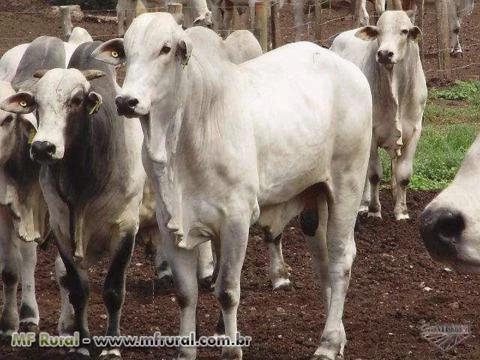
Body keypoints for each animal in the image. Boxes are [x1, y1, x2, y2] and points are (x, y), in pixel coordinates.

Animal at [93, 11, 372, 360]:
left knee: (340, 260)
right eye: (126, 52)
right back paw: (339, 336)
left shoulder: (236, 220)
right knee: (322, 261)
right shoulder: (170, 223)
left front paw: (231, 348)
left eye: (165, 48)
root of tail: (345, 67)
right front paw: (186, 351)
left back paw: (328, 342)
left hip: (347, 183)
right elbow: (186, 293)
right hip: (314, 193)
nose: (126, 101)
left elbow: (226, 291)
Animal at [330, 10, 428, 219]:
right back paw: (364, 204)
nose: (384, 54)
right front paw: (375, 211)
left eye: (404, 31)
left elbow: (404, 174)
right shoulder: (373, 133)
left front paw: (402, 212)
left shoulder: (414, 131)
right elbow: (374, 174)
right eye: (379, 31)